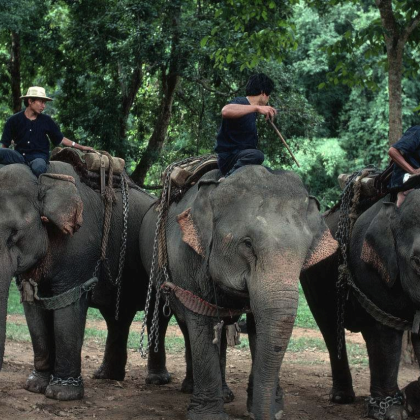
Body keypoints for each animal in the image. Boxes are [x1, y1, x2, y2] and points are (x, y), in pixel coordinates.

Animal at [0, 161, 171, 400]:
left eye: (14, 234)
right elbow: (34, 306)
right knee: (117, 317)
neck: (44, 179)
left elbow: (69, 305)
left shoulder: (79, 245)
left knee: (158, 316)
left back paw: (157, 381)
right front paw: (35, 386)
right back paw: (107, 376)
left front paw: (62, 394)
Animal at [139, 166, 338, 420]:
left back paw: (223, 394)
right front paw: (208, 417)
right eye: (247, 244)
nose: (270, 415)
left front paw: (269, 408)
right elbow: (200, 322)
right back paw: (179, 385)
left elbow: (258, 326)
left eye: (305, 251)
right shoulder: (187, 257)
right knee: (174, 318)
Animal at [302, 189, 420, 420]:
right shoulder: (371, 271)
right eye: (418, 261)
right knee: (330, 328)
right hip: (313, 277)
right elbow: (385, 332)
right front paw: (392, 412)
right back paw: (342, 398)